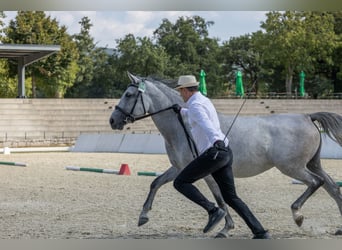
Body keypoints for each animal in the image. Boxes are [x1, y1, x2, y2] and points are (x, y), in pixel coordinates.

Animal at [109, 73, 342, 238]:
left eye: (129, 95)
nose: (113, 120)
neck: (183, 125)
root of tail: (307, 116)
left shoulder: (203, 172)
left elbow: (219, 199)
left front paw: (223, 227)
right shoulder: (179, 168)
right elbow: (156, 183)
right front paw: (143, 216)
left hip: (293, 167)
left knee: (316, 182)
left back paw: (298, 215)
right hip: (312, 164)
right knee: (332, 187)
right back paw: (338, 228)